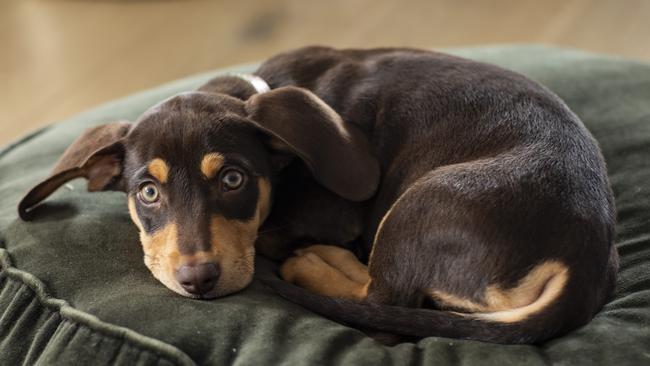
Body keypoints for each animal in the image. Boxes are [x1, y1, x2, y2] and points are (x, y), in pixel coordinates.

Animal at [15, 45, 616, 344]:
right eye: (147, 192)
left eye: (233, 179)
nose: (198, 281)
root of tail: (581, 262)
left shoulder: (338, 212)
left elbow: (274, 234)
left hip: (419, 206)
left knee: (381, 303)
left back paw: (315, 264)